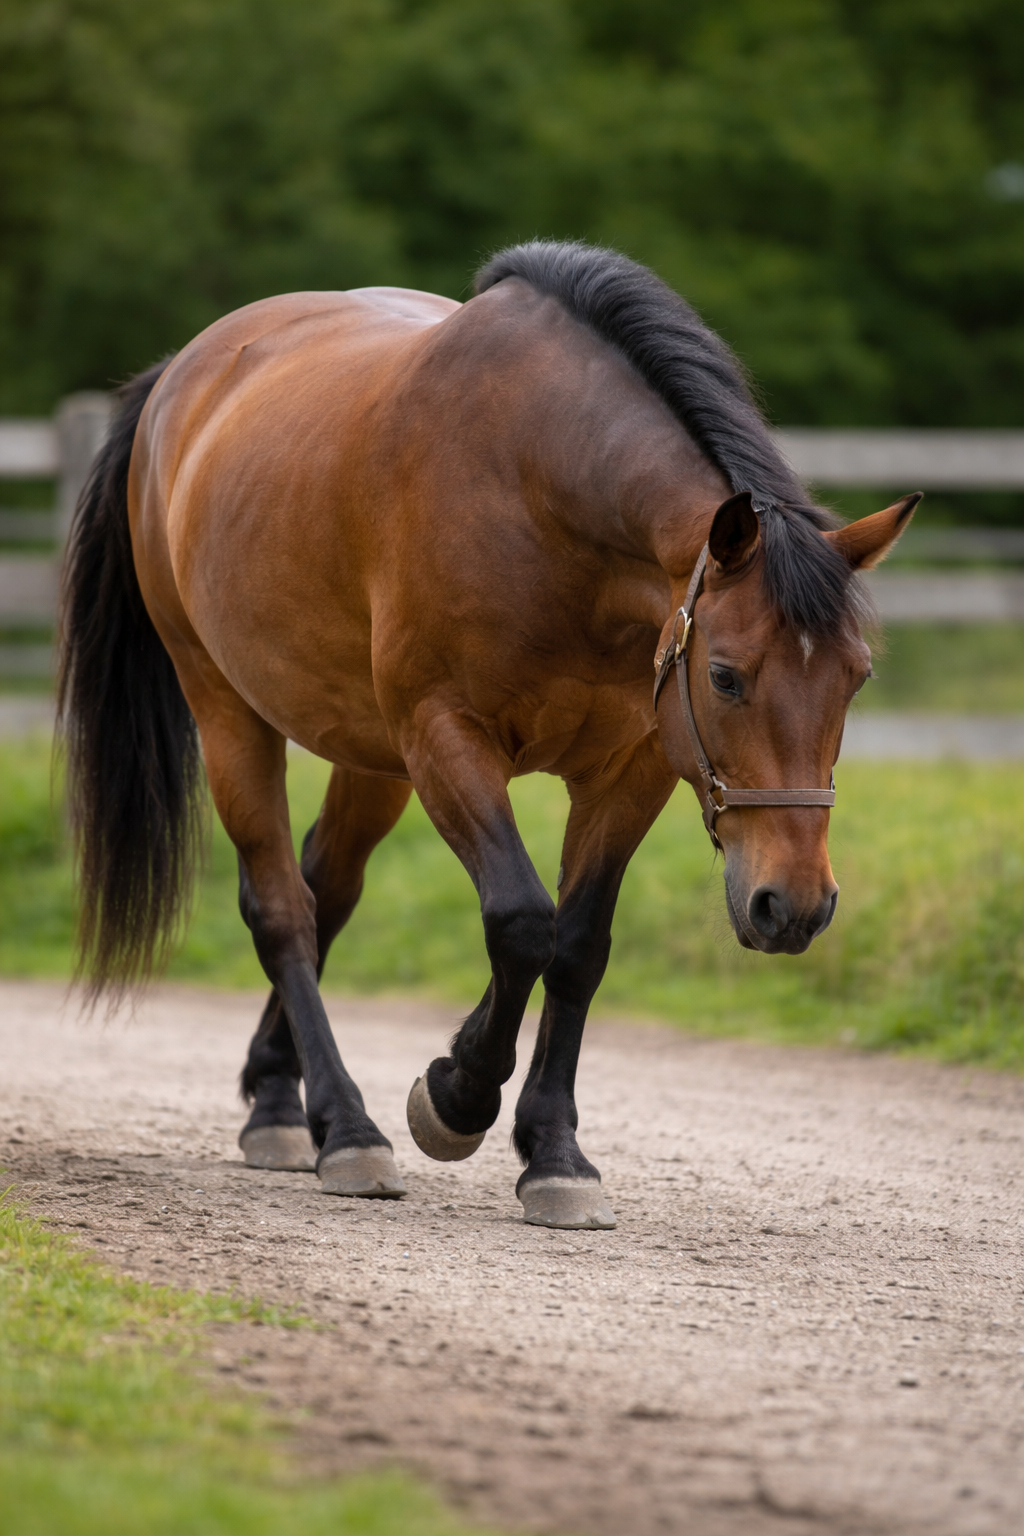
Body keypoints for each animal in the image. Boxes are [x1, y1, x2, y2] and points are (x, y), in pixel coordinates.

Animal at [58, 240, 917, 1230]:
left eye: (856, 678)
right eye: (728, 676)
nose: (795, 905)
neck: (540, 491)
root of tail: (180, 379)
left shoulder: (630, 771)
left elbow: (578, 946)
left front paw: (555, 1156)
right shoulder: (447, 738)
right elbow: (519, 922)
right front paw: (456, 1094)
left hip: (370, 756)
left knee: (326, 891)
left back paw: (278, 1102)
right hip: (230, 713)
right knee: (280, 909)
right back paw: (346, 1130)